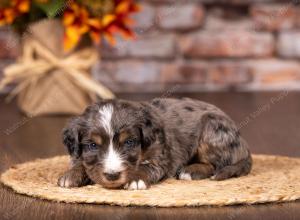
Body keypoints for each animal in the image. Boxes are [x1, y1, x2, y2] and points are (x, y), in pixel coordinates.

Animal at [57, 97, 252, 189]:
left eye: (129, 142)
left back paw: (190, 171)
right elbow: (80, 162)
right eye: (92, 145)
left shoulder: (160, 157)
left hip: (210, 128)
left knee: (216, 165)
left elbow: (146, 167)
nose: (112, 175)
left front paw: (136, 179)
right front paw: (71, 175)